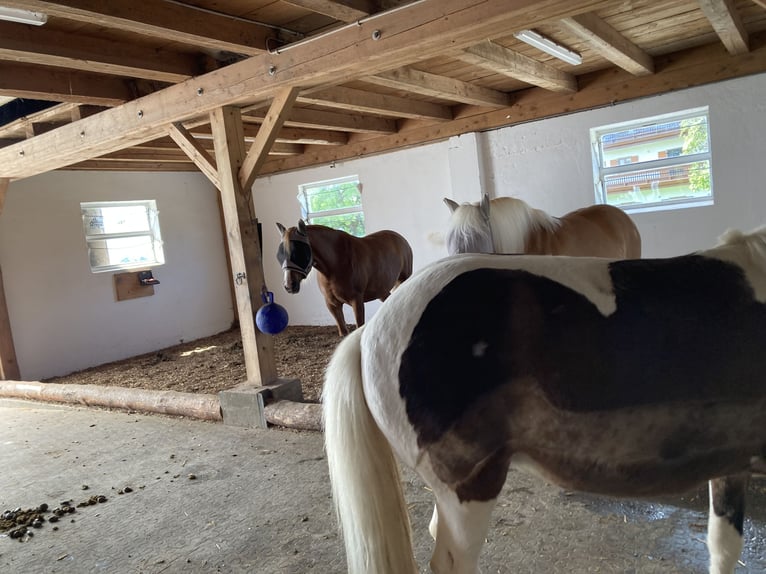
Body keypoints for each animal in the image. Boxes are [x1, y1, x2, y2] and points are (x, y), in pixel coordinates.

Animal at [272, 220, 412, 338]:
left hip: (403, 280)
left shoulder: (357, 301)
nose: (289, 285)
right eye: (279, 254)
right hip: (381, 292)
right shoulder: (332, 304)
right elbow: (343, 333)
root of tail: (399, 238)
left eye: (299, 251)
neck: (335, 265)